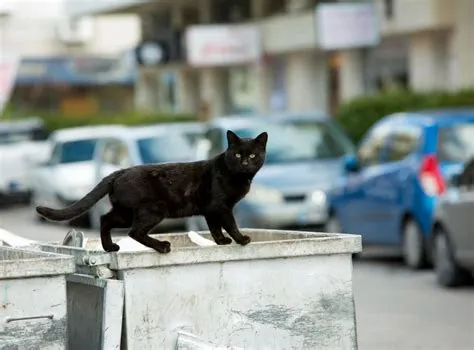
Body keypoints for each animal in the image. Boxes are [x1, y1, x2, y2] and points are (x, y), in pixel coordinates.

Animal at [36, 131, 266, 254]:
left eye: (253, 155)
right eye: (237, 155)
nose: (245, 163)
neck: (237, 177)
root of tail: (120, 171)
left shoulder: (210, 210)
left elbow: (215, 227)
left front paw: (222, 242)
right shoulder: (221, 207)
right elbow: (230, 224)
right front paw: (241, 239)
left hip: (124, 212)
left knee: (105, 219)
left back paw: (110, 247)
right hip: (154, 209)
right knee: (134, 232)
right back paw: (162, 246)